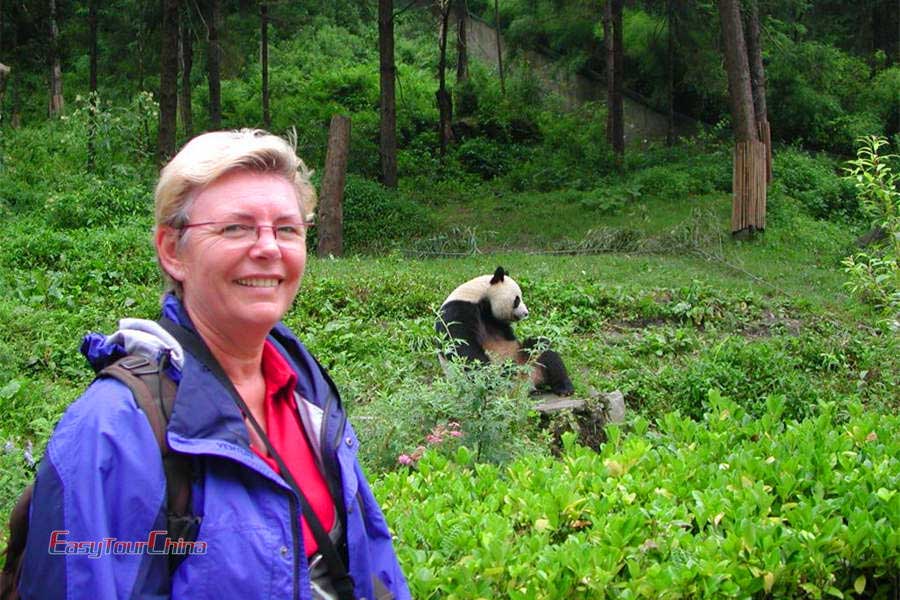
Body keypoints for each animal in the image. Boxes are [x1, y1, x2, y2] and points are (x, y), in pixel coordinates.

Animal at [438, 264, 576, 396]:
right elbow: (461, 346)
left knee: (545, 353)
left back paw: (564, 388)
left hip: (527, 360)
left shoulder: (495, 320)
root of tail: (524, 386)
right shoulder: (457, 311)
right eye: (517, 300)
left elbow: (514, 337)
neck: (479, 296)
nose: (526, 313)